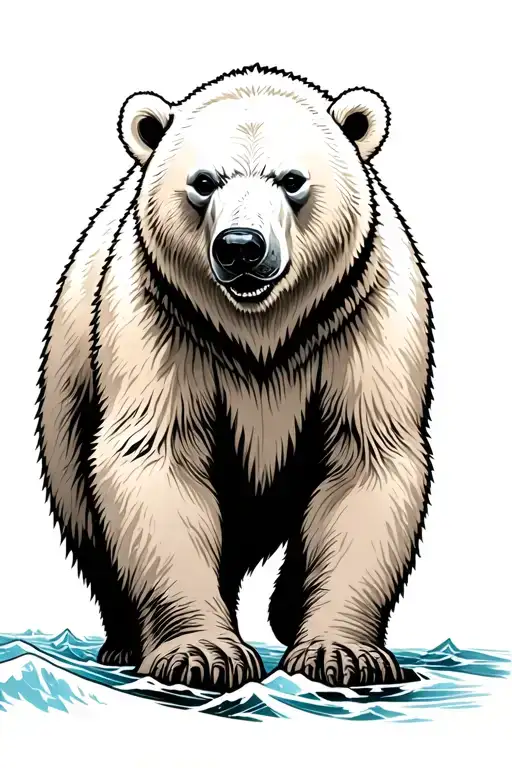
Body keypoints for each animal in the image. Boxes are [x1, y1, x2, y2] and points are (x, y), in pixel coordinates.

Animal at [36, 64, 433, 692]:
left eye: (292, 179)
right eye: (204, 181)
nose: (241, 247)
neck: (260, 327)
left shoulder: (360, 310)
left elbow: (367, 457)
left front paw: (342, 654)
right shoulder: (164, 317)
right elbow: (156, 457)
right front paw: (202, 655)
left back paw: (287, 609)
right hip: (68, 388)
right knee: (85, 509)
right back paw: (124, 641)